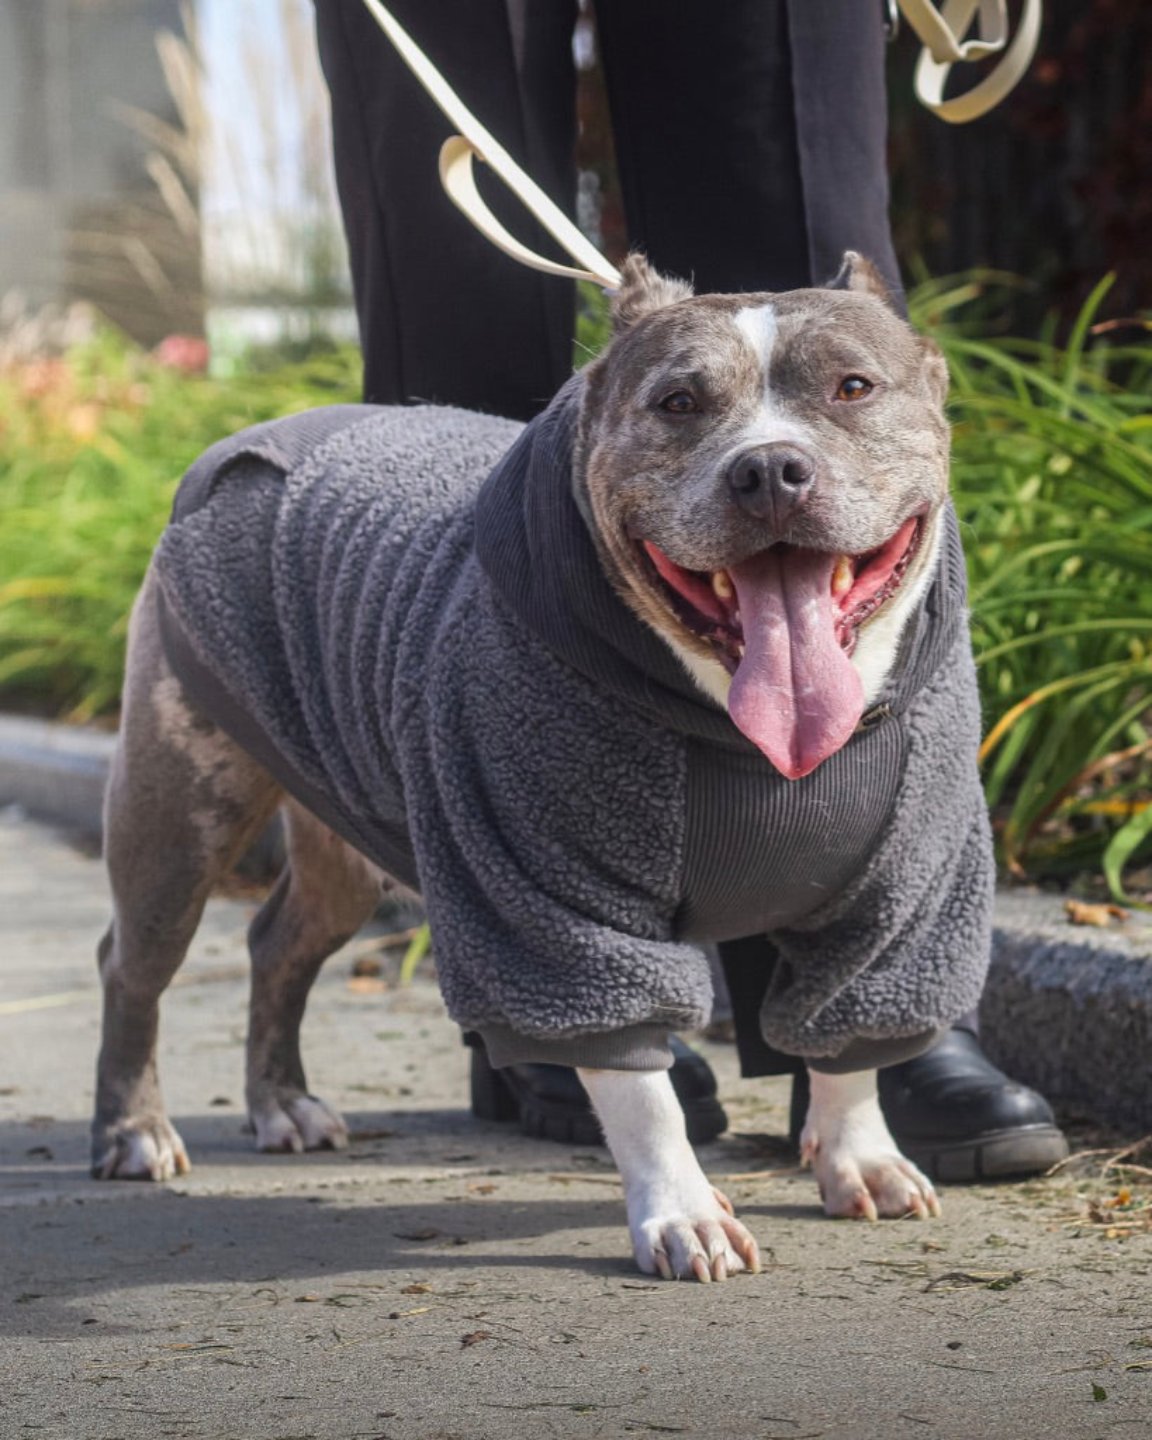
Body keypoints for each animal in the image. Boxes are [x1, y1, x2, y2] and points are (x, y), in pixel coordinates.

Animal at [92, 250, 990, 1284]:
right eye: (678, 401)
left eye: (853, 388)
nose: (769, 468)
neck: (742, 728)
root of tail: (241, 444)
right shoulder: (552, 909)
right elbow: (639, 1086)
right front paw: (683, 1210)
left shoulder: (897, 902)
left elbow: (850, 1044)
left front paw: (860, 1158)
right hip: (179, 806)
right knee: (135, 963)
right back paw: (133, 1132)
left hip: (341, 840)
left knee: (278, 944)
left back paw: (281, 1104)